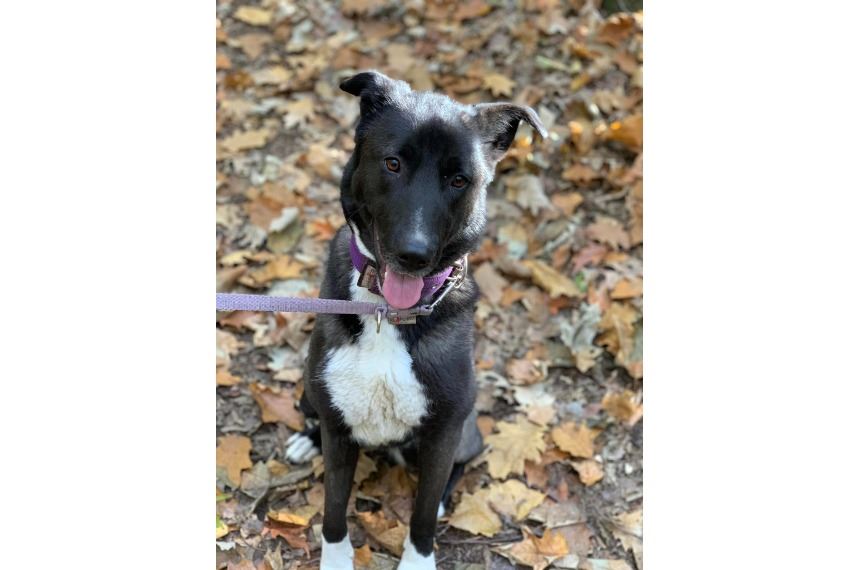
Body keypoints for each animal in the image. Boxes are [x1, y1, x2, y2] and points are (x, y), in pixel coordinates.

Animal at [285, 70, 546, 569]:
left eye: (459, 179)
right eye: (392, 164)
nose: (414, 254)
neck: (388, 313)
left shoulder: (444, 433)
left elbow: (422, 514)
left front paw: (419, 557)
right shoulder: (337, 428)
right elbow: (333, 508)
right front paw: (336, 557)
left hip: (465, 432)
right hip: (310, 393)